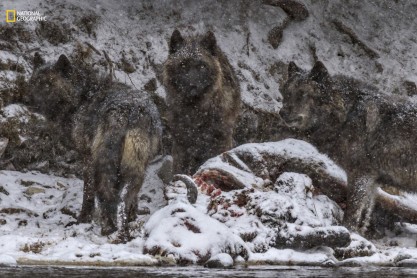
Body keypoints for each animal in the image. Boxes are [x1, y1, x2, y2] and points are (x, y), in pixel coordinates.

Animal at [28, 54, 161, 241]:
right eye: (34, 82)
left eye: (48, 85)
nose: (27, 102)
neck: (82, 96)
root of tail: (128, 111)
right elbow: (134, 200)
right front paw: (134, 217)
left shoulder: (87, 157)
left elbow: (88, 193)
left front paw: (82, 219)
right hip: (135, 168)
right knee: (124, 197)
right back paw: (123, 229)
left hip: (103, 164)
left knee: (105, 192)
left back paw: (108, 228)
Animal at [278, 60, 416, 235]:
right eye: (287, 93)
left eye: (303, 94)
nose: (282, 113)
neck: (346, 115)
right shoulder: (372, 181)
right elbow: (365, 214)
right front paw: (359, 234)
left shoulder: (360, 174)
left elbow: (353, 210)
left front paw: (347, 230)